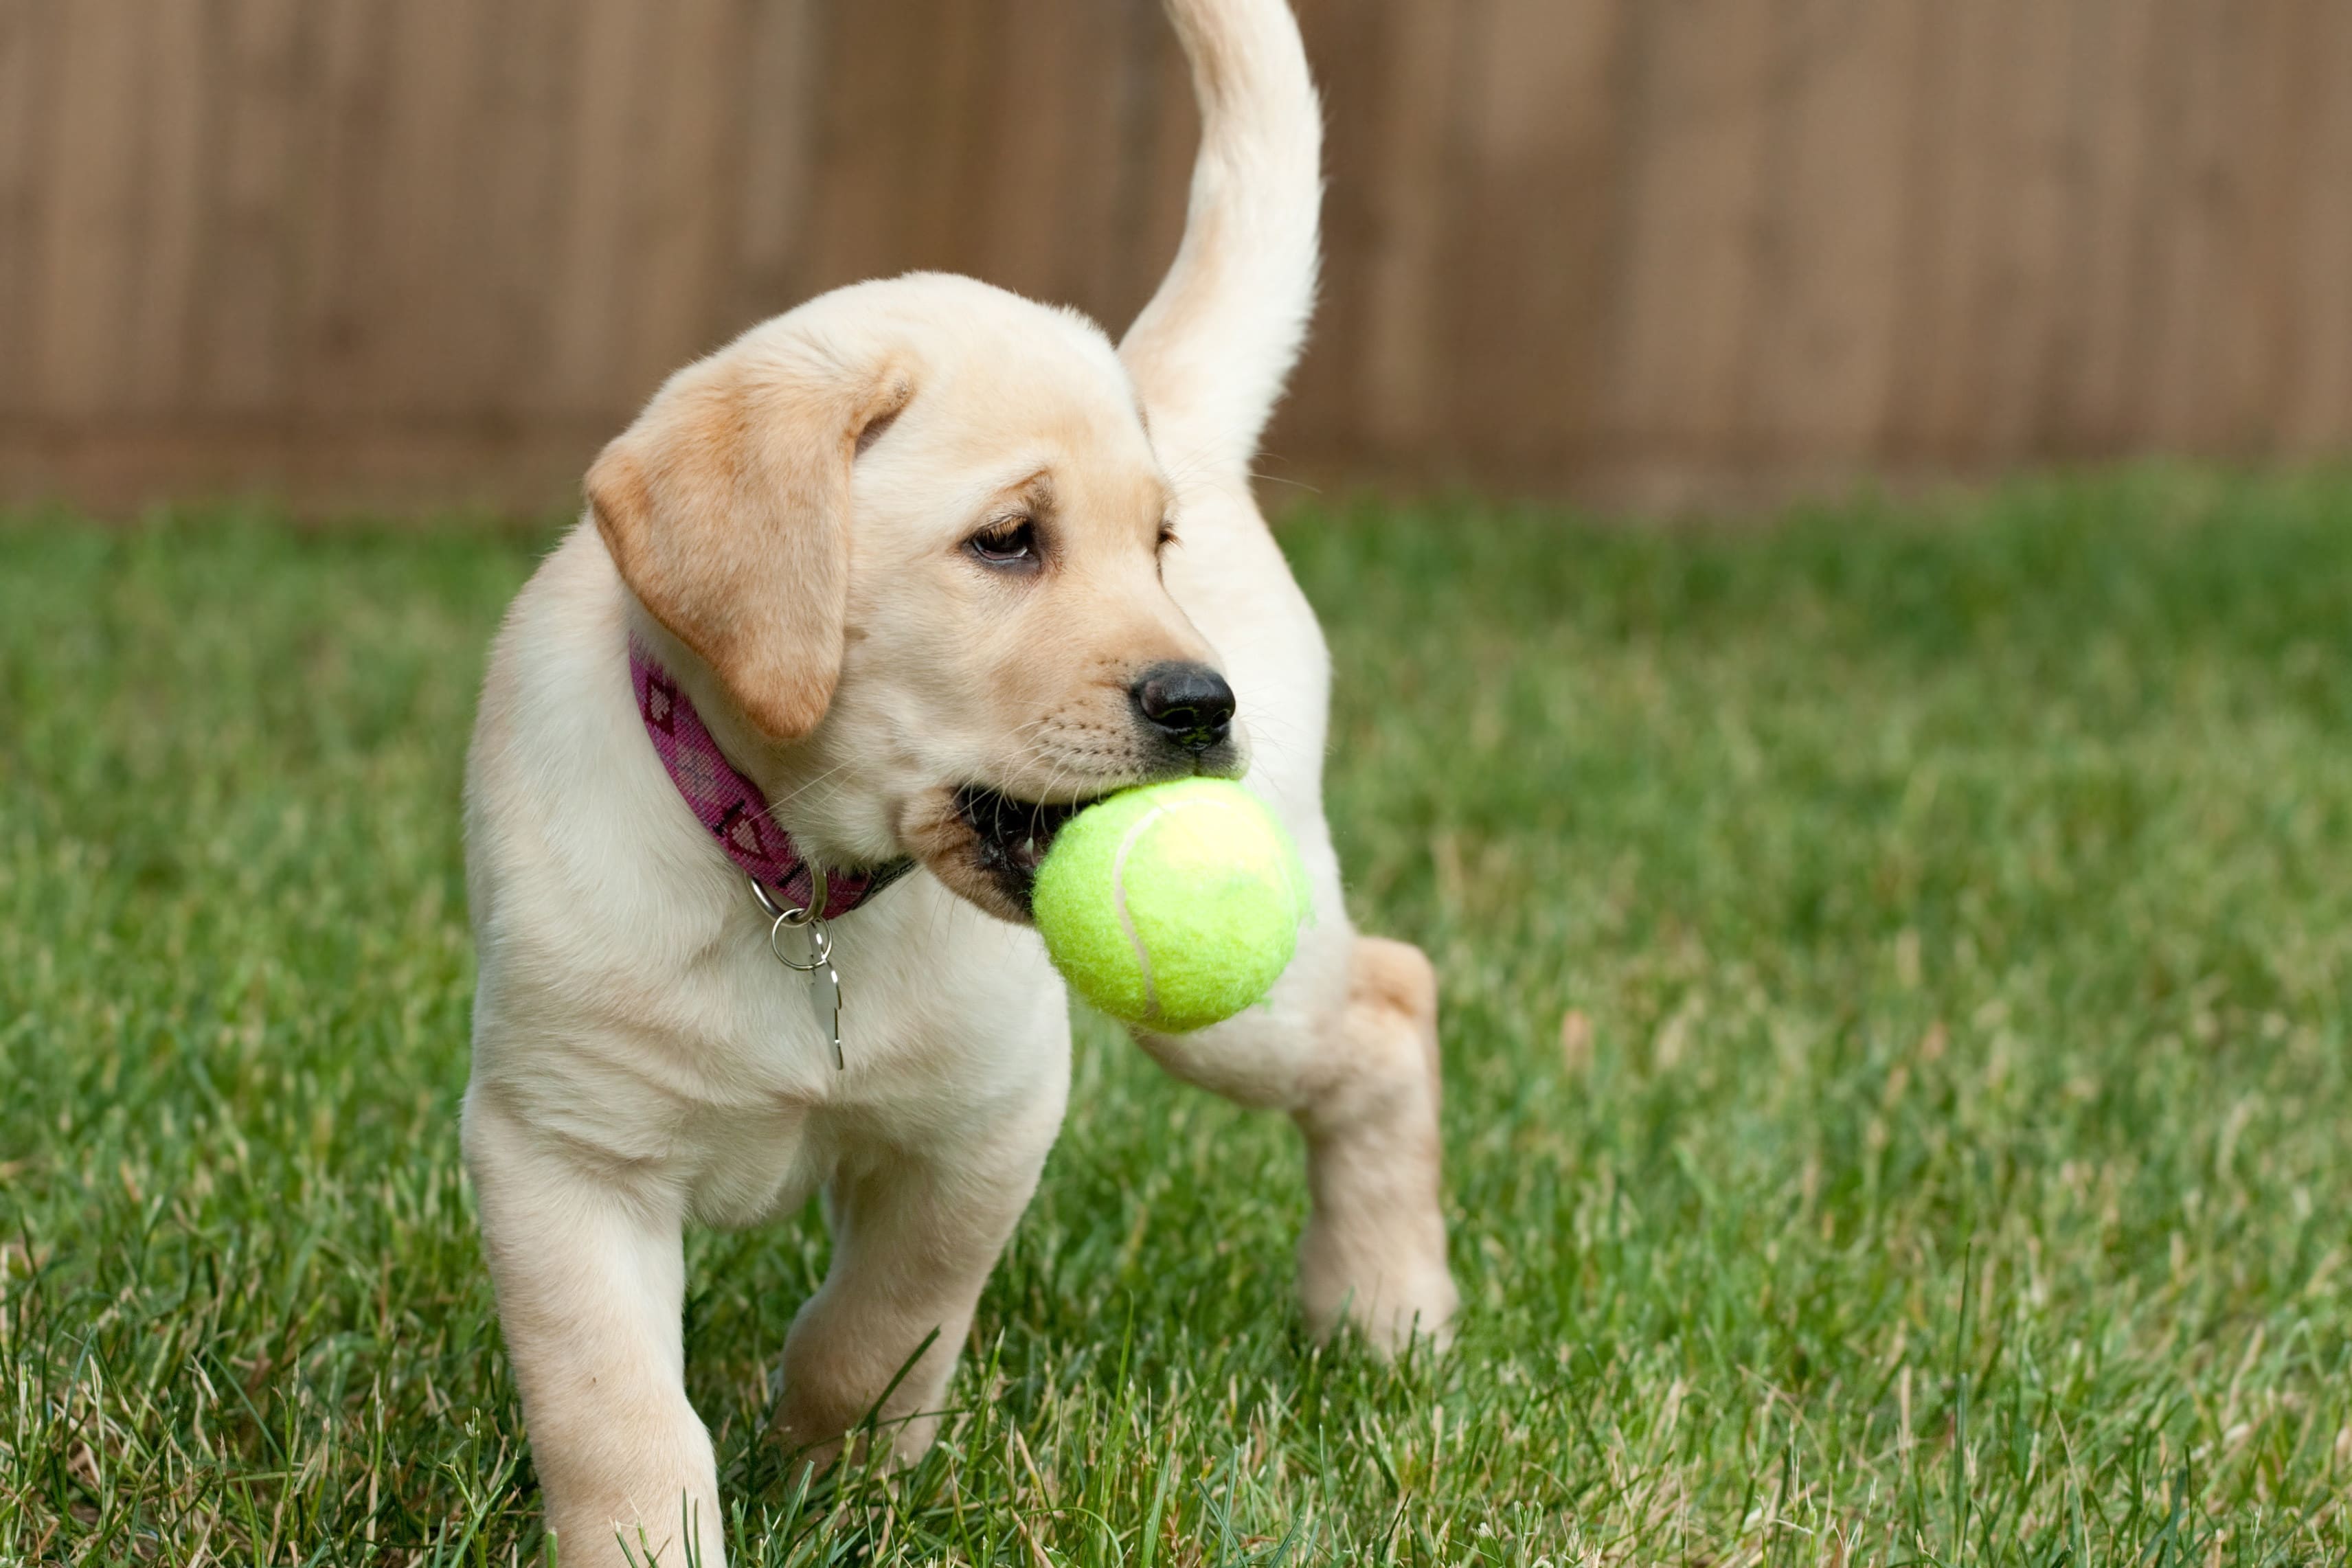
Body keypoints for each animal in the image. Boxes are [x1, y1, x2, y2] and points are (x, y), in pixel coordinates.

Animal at [456, 0, 1449, 1560]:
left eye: (1153, 545)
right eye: (1006, 540)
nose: (1201, 702)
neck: (798, 882)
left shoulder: (983, 1120)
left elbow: (884, 1322)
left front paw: (834, 1464)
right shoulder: (560, 1148)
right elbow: (612, 1410)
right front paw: (657, 1531)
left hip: (1241, 1005)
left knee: (1393, 1001)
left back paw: (1380, 1309)